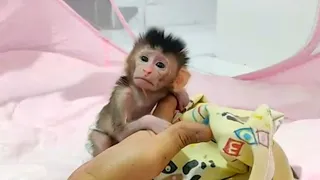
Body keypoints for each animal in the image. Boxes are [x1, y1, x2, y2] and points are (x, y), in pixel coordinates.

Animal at [87, 27, 190, 157]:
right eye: (144, 59)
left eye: (160, 65)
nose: (147, 70)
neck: (142, 93)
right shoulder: (122, 94)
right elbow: (121, 133)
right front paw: (156, 123)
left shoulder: (161, 89)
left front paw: (181, 93)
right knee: (101, 139)